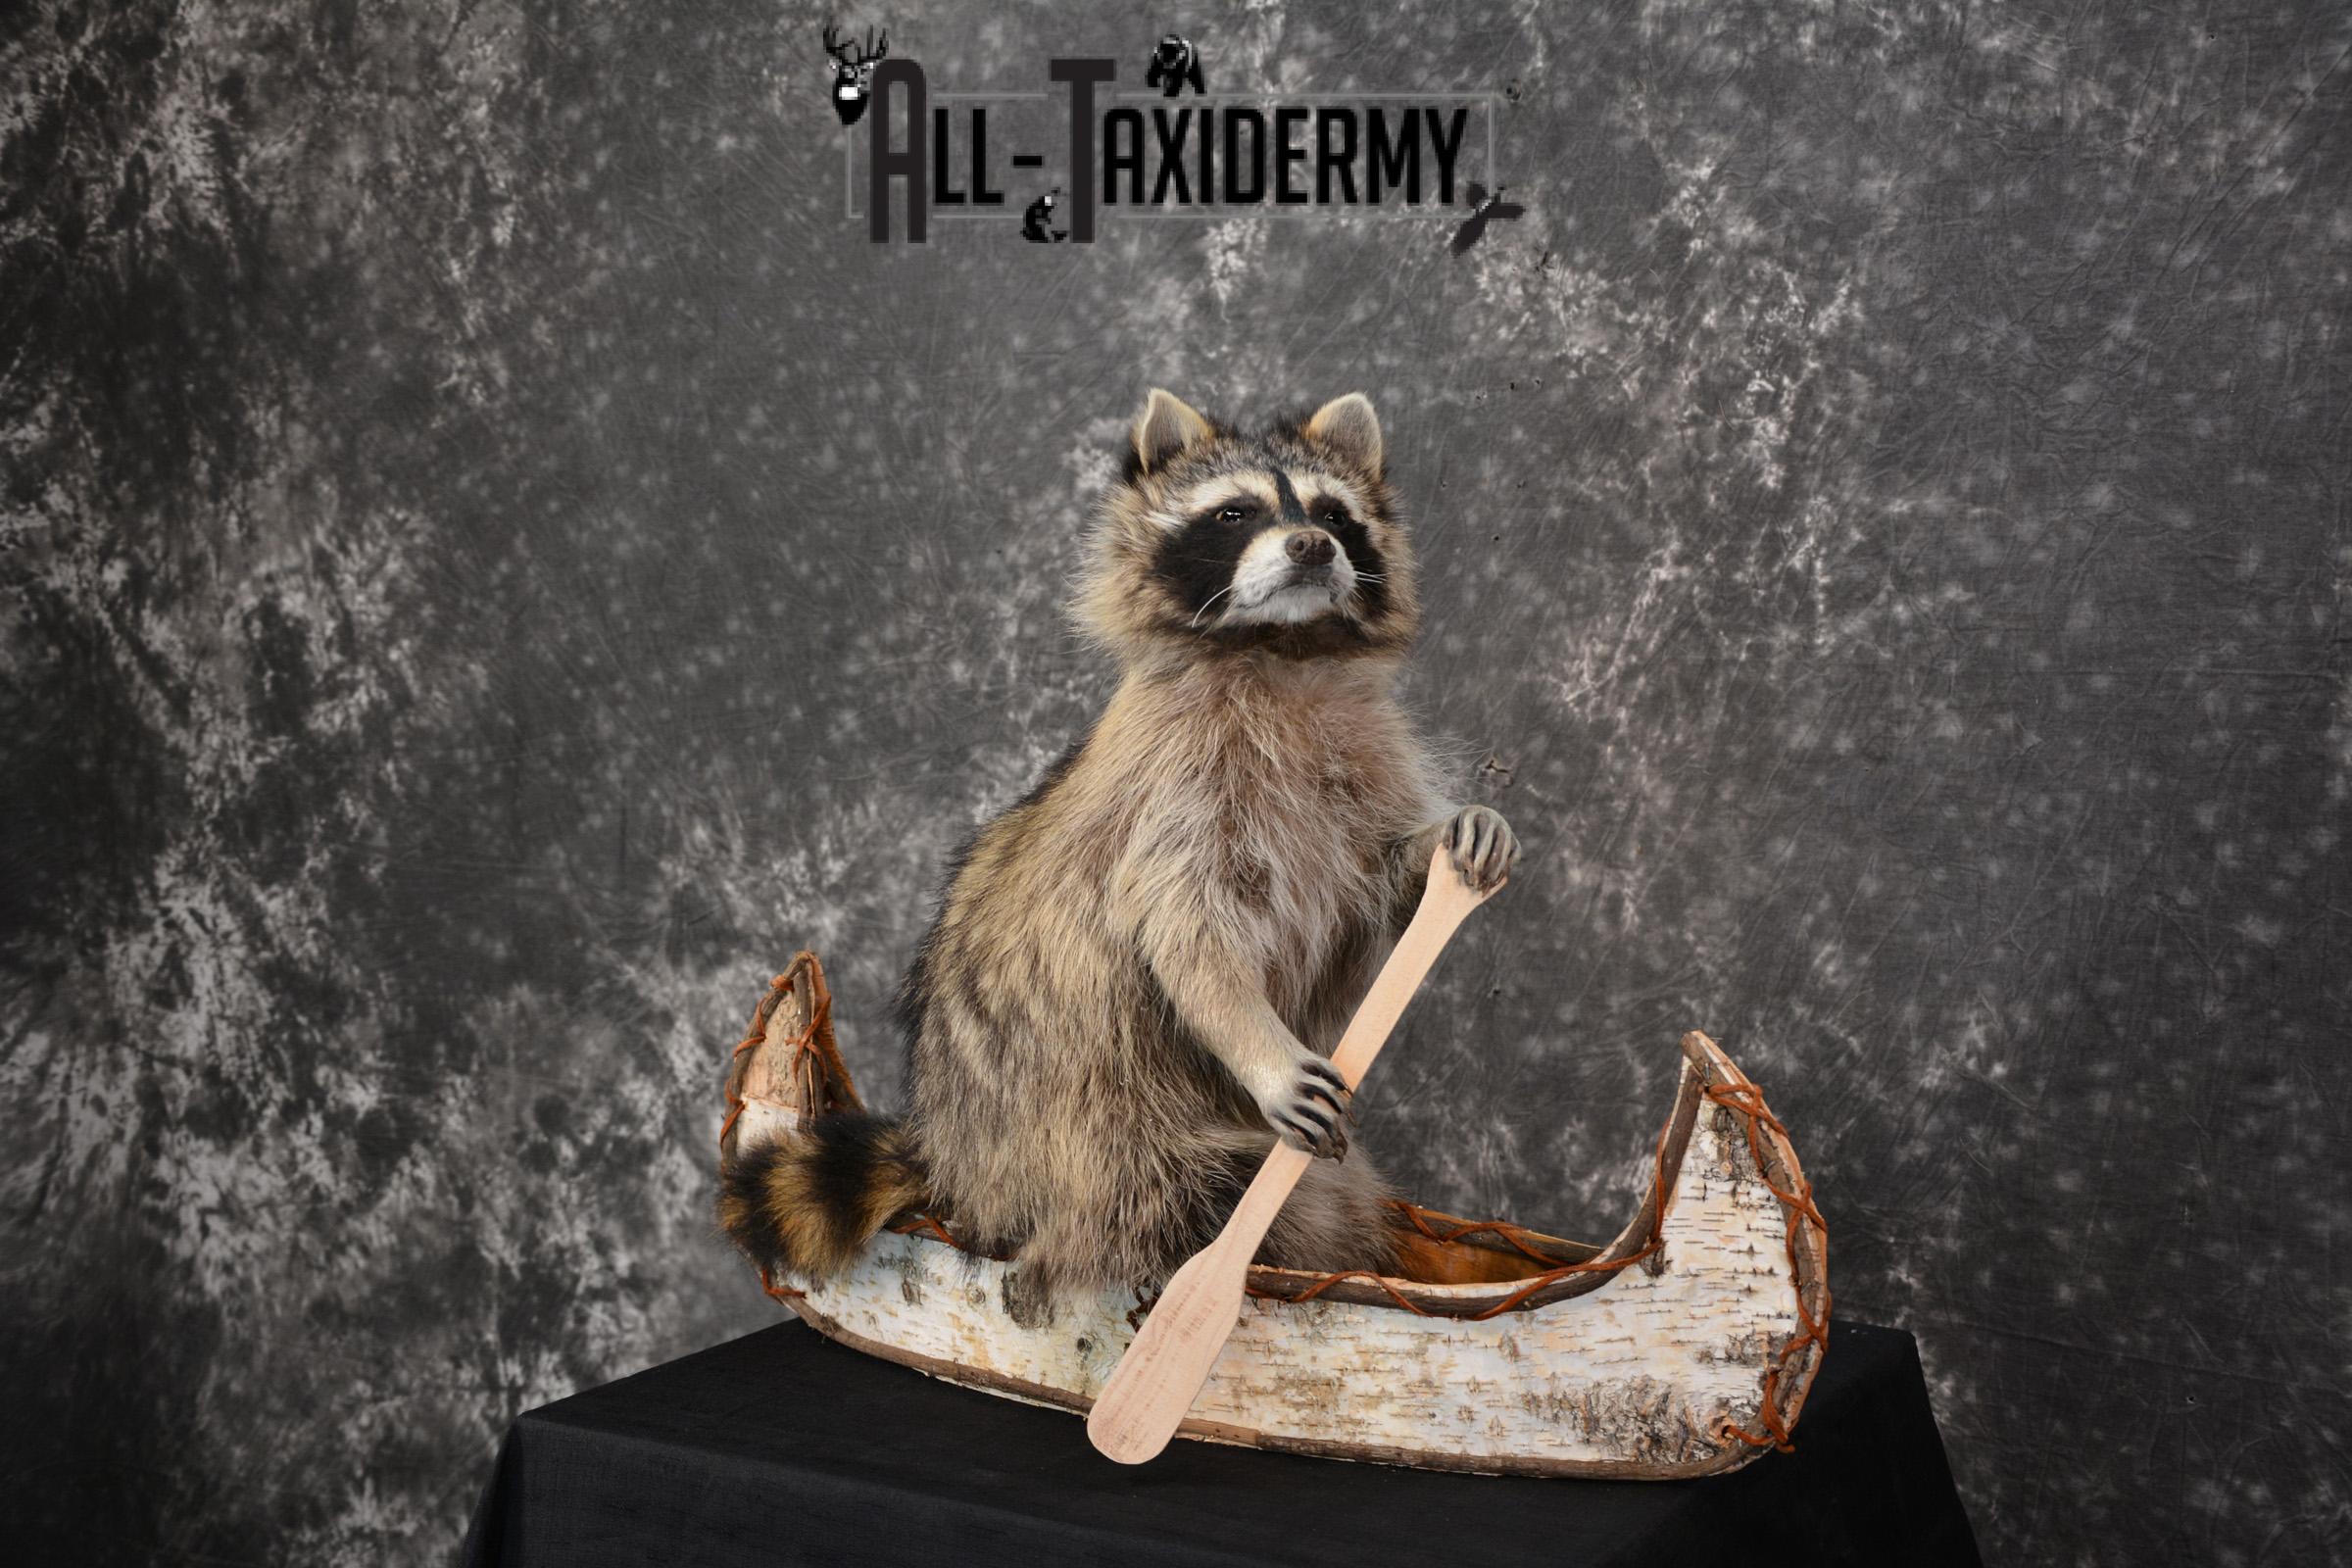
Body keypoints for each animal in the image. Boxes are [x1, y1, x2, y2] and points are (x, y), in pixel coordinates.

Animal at [720, 389, 1517, 1322]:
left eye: (1331, 515)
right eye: (1236, 512)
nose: (1312, 546)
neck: (1278, 649)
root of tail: (954, 1168)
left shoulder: (1362, 761)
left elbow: (1381, 876)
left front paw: (1441, 843)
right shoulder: (1174, 793)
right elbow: (1185, 936)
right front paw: (1262, 1049)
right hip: (1097, 1149)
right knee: (1208, 1192)